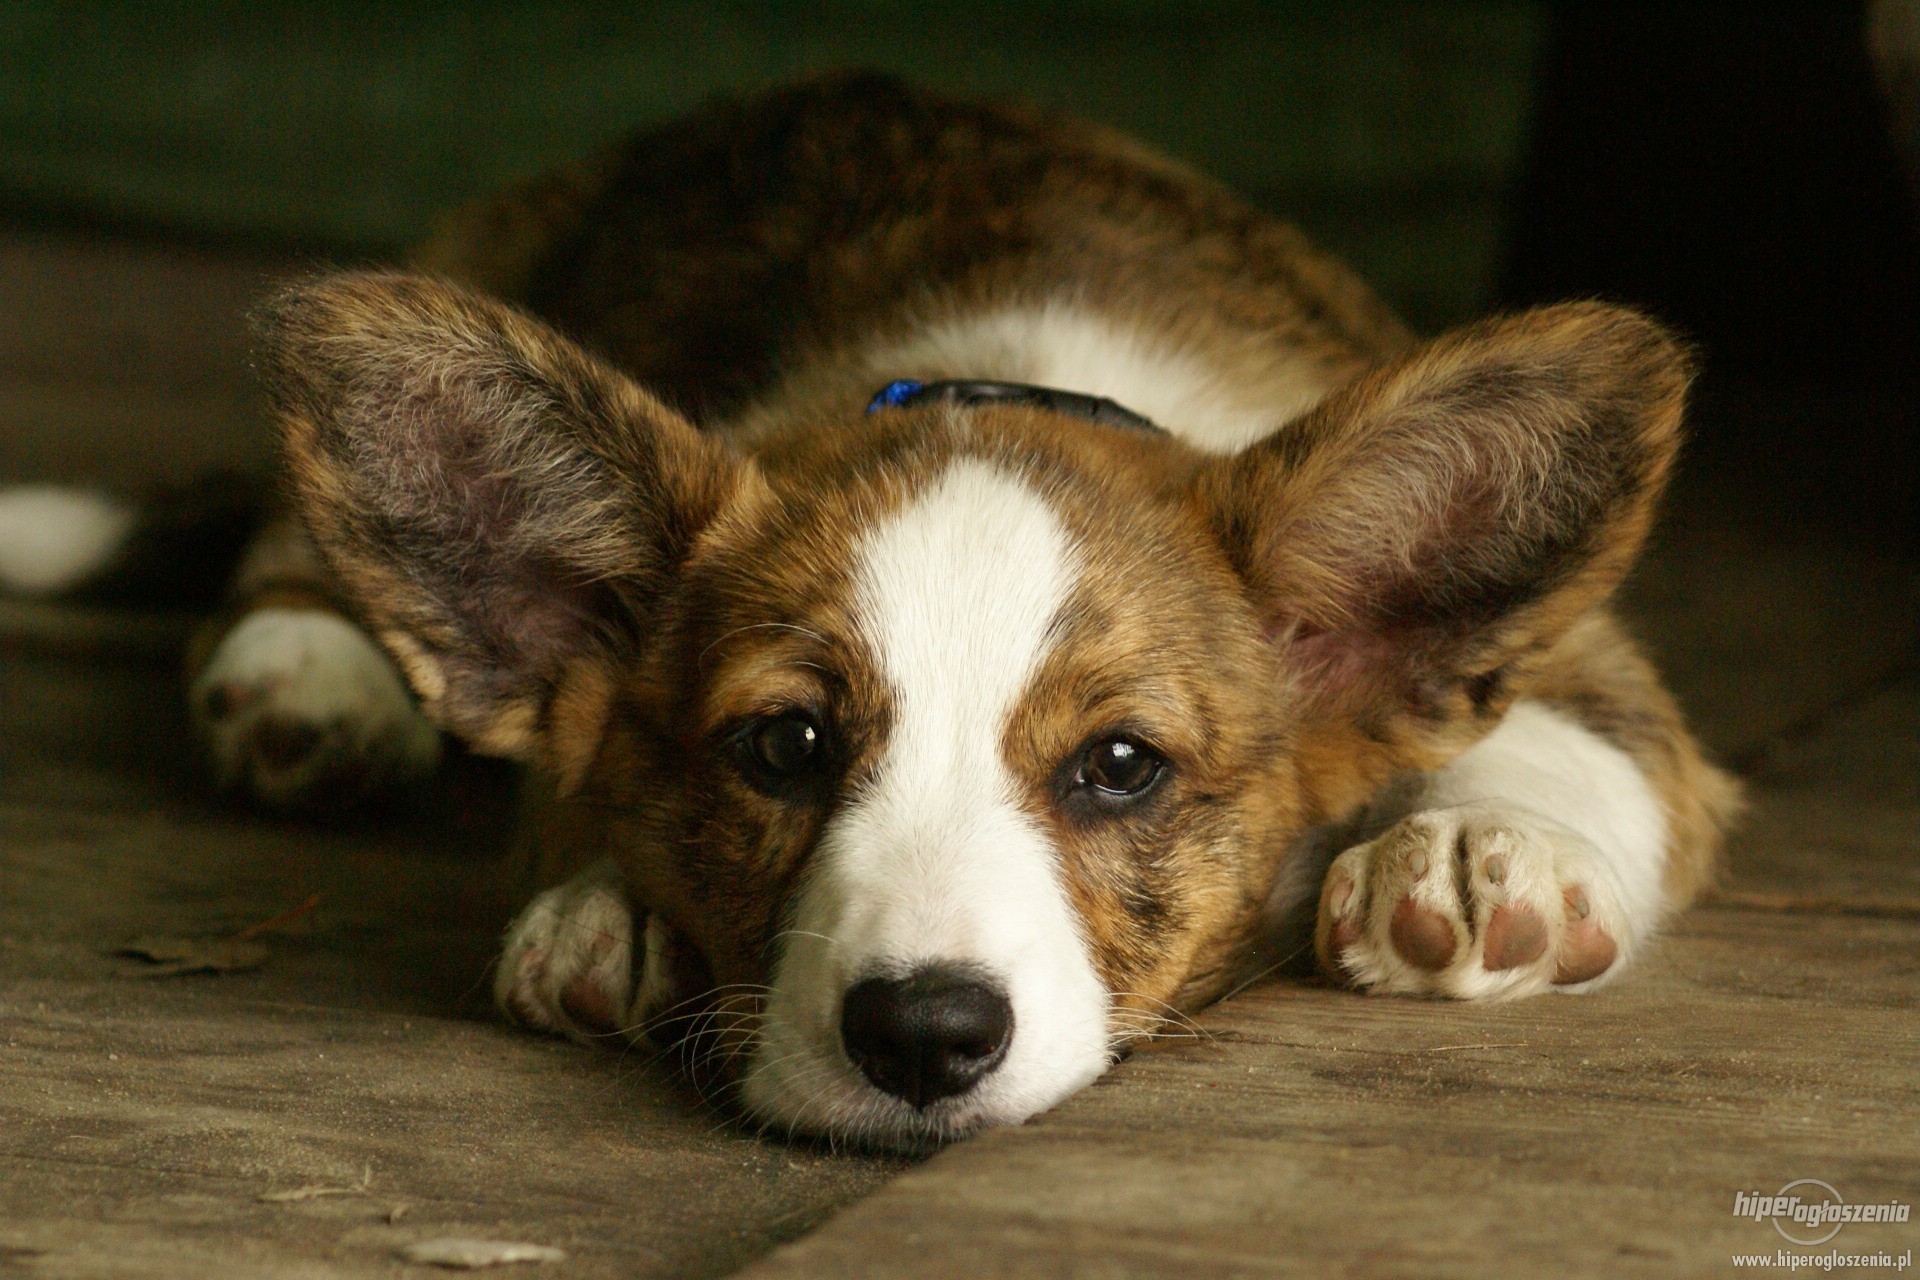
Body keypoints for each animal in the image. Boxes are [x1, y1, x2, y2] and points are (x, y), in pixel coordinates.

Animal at [7, 72, 1743, 1151]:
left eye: (1122, 768)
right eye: (783, 747)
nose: (924, 1041)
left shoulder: (1592, 664)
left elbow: (1567, 734)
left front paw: (1478, 853)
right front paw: (607, 912)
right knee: (283, 548)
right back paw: (310, 675)